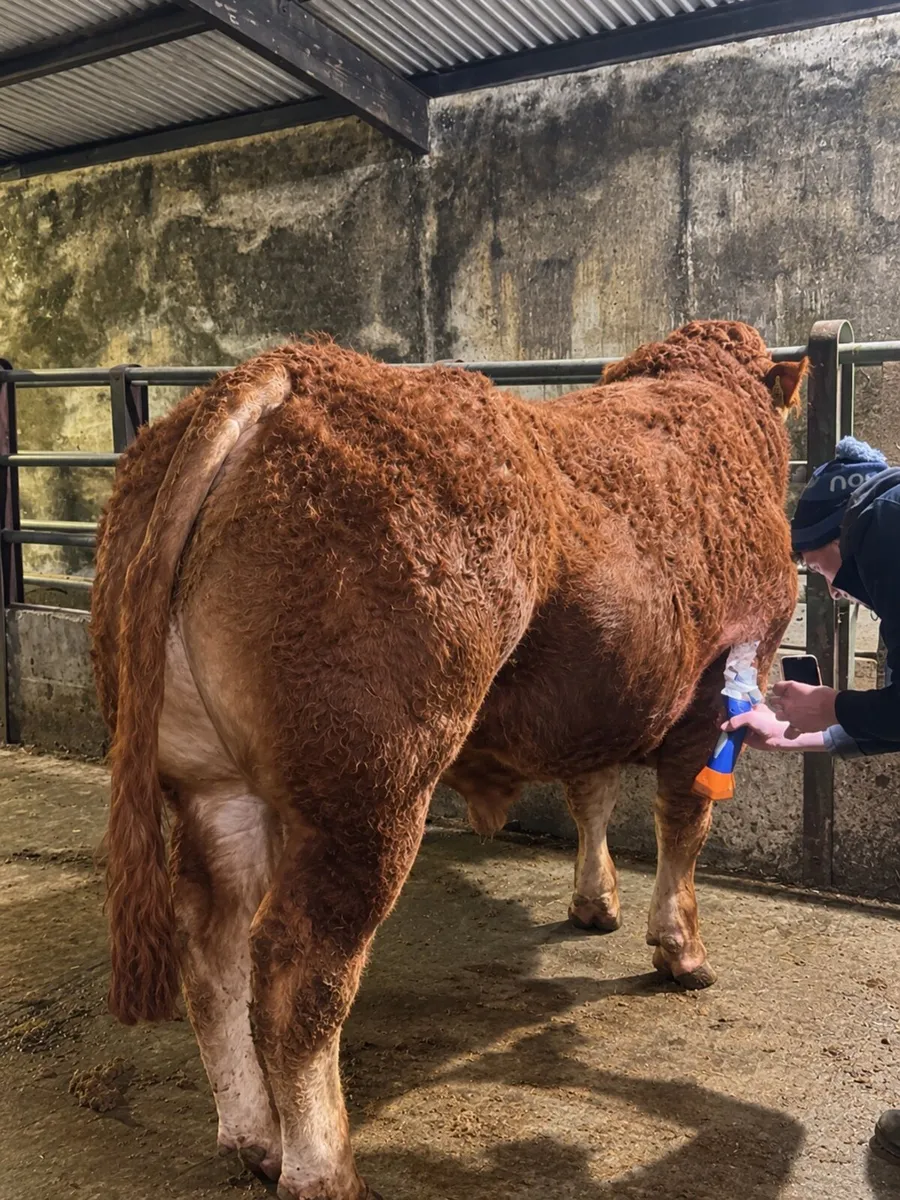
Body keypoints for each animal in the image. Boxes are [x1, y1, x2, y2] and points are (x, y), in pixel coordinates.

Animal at [90, 320, 806, 1200]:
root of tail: (286, 372)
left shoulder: (597, 699)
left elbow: (593, 794)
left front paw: (594, 902)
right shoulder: (723, 687)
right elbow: (685, 824)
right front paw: (681, 951)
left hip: (211, 784)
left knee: (211, 947)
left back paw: (254, 1137)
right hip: (371, 791)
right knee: (296, 971)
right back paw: (324, 1169)